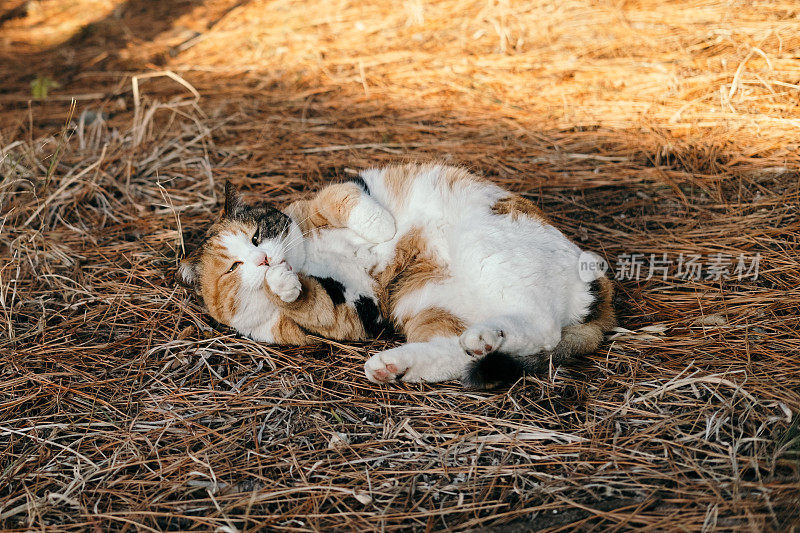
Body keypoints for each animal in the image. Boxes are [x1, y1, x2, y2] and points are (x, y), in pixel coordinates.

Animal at [178, 162, 616, 386]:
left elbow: (346, 201)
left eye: (255, 236)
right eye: (233, 267)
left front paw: (383, 231)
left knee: (543, 328)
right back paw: (398, 365)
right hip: (425, 304)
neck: (307, 263)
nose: (264, 262)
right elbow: (311, 301)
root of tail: (601, 289)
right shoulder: (353, 312)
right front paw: (282, 287)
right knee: (462, 353)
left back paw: (483, 336)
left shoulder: (329, 197)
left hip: (485, 248)